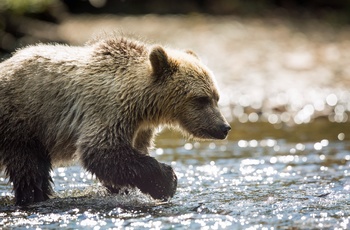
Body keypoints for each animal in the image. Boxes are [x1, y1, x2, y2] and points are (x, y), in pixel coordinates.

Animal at [0, 36, 231, 206]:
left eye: (216, 97)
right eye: (201, 99)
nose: (224, 127)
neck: (142, 104)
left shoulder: (139, 128)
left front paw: (123, 189)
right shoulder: (108, 108)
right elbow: (101, 150)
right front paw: (167, 181)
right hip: (22, 121)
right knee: (29, 168)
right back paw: (34, 197)